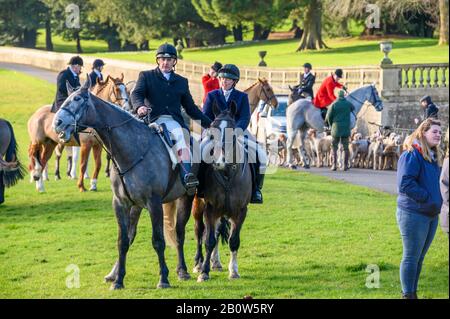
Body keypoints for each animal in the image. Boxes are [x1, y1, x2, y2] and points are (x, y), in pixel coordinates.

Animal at [52, 77, 195, 290]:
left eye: (77, 99)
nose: (57, 123)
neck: (133, 151)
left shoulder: (154, 203)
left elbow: (158, 240)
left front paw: (163, 278)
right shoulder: (121, 203)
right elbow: (123, 241)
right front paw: (118, 280)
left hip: (188, 197)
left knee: (180, 233)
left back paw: (185, 270)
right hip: (137, 206)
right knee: (134, 234)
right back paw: (114, 273)